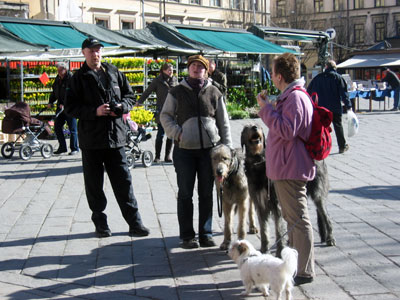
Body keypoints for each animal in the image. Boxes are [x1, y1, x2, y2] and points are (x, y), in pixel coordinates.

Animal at [242, 123, 336, 254]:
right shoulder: (260, 204)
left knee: (325, 215)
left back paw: (330, 238)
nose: (255, 127)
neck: (258, 162)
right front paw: (264, 250)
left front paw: (280, 251)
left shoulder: (276, 204)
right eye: (247, 127)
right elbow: (264, 229)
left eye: (259, 126)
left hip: (317, 193)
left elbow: (278, 228)